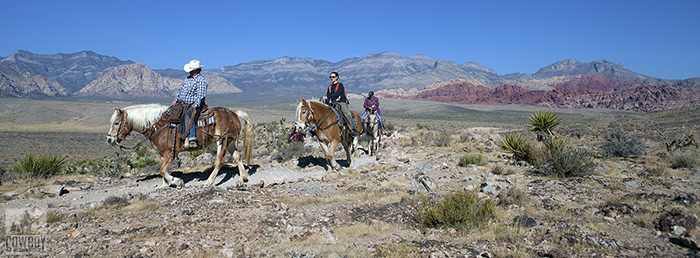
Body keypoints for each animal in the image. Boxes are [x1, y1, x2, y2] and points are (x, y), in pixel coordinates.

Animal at [105, 103, 253, 187]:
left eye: (116, 123)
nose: (109, 139)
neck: (159, 125)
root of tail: (234, 114)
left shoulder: (172, 150)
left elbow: (162, 169)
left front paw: (176, 181)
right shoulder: (162, 152)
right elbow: (164, 169)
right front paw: (166, 183)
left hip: (222, 141)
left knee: (220, 161)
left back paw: (209, 182)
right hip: (230, 141)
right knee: (237, 156)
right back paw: (242, 178)